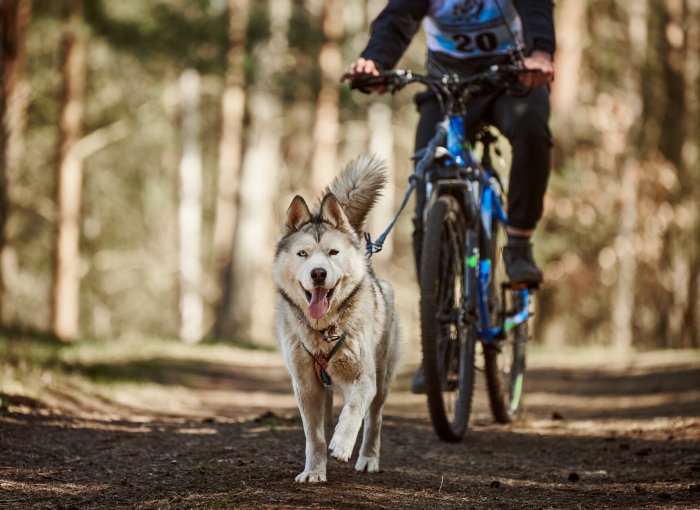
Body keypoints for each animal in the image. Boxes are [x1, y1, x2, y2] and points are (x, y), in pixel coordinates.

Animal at [274, 154, 402, 482]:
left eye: (332, 252)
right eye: (303, 254)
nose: (318, 273)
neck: (323, 331)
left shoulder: (364, 380)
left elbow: (354, 410)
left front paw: (342, 445)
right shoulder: (305, 387)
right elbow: (314, 436)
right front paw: (314, 471)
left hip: (382, 379)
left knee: (374, 419)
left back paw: (368, 458)